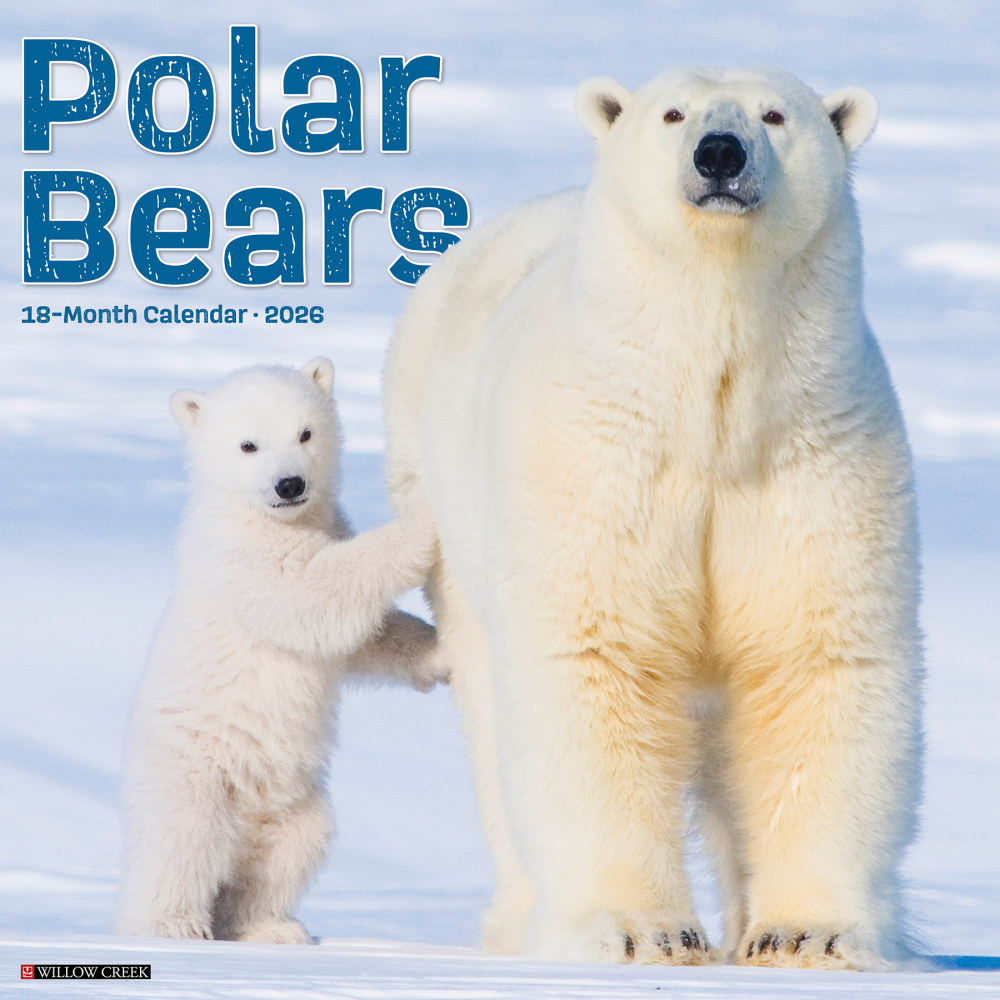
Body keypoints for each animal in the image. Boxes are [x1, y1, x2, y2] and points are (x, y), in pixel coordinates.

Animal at [118, 358, 443, 944]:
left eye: (305, 432)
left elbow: (361, 638)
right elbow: (312, 592)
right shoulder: (240, 559)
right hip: (193, 767)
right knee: (183, 840)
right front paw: (422, 521)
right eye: (248, 444)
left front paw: (439, 653)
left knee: (292, 847)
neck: (263, 515)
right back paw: (172, 924)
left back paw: (269, 926)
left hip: (293, 801)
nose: (290, 484)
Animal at [382, 67, 922, 970]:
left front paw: (804, 933)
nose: (720, 153)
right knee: (492, 717)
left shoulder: (814, 457)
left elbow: (813, 660)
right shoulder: (599, 460)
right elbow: (596, 657)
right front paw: (644, 931)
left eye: (776, 114)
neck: (709, 409)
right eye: (673, 113)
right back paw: (520, 919)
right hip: (444, 508)